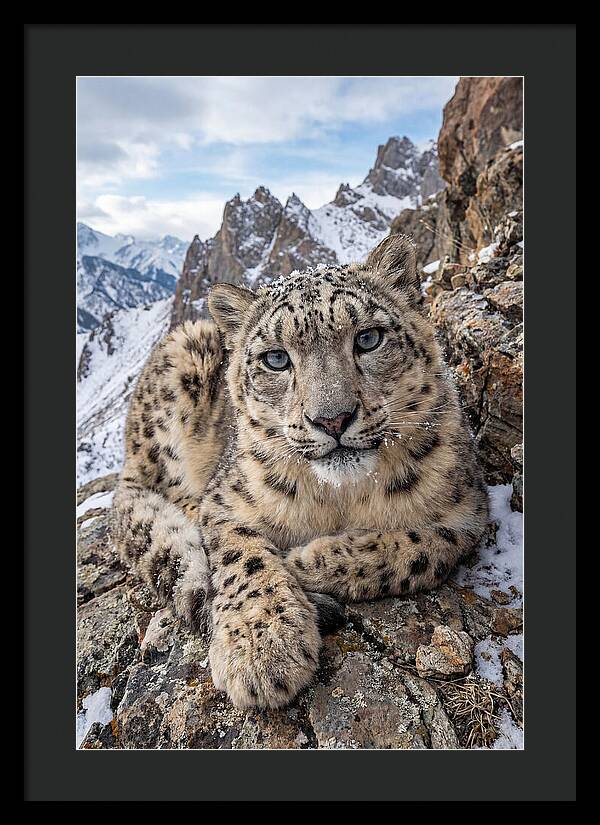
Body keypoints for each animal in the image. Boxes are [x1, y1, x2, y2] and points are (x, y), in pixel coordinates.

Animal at [112, 234, 489, 709]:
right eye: (276, 359)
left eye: (368, 338)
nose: (332, 419)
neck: (340, 498)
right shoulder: (226, 501)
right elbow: (243, 557)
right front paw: (262, 648)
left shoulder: (467, 512)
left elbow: (419, 549)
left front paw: (306, 561)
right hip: (177, 374)